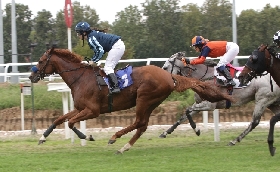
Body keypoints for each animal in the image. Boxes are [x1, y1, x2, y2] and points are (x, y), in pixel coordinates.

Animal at [28, 47, 234, 154]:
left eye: (41, 61)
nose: (31, 76)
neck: (80, 78)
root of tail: (169, 76)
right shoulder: (80, 108)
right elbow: (59, 119)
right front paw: (42, 137)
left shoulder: (92, 110)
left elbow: (70, 122)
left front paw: (88, 136)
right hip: (151, 102)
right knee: (142, 125)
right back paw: (124, 146)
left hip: (144, 98)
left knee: (139, 122)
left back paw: (115, 138)